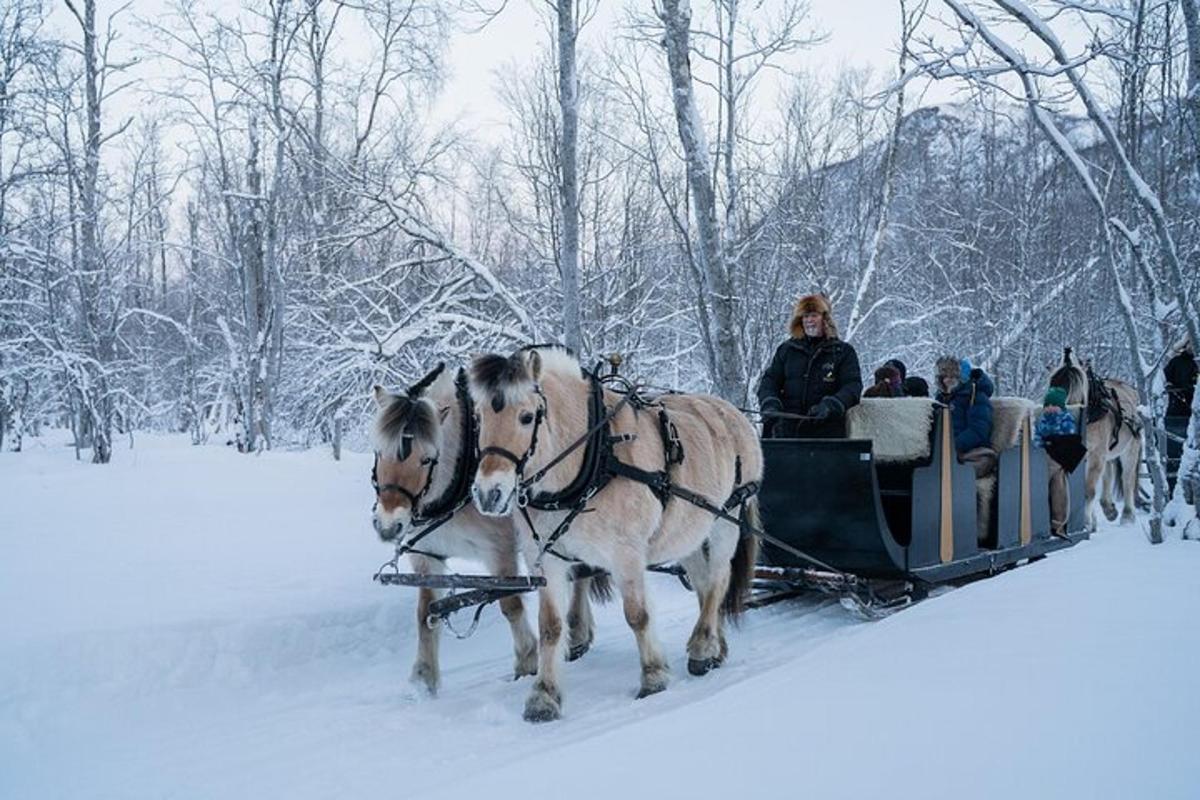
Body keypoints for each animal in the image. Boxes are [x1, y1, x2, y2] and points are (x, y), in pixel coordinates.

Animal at [369, 362, 604, 695]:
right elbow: (426, 612)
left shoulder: (498, 548)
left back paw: (579, 631)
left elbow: (510, 603)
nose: (388, 526)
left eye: (427, 459)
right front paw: (424, 678)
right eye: (378, 452)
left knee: (581, 575)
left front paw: (527, 660)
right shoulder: (426, 555)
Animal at [465, 347, 758, 724]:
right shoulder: (546, 558)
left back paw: (701, 647)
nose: (489, 494)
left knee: (719, 580)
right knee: (705, 585)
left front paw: (653, 677)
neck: (594, 459)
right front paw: (544, 696)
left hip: (726, 519)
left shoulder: (626, 554)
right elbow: (550, 626)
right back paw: (715, 647)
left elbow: (637, 614)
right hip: (690, 531)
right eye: (478, 418)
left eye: (527, 417)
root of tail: (732, 411)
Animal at [1051, 350, 1142, 532]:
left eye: (1079, 391)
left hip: (1130, 450)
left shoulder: (1095, 455)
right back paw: (1108, 508)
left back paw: (1127, 516)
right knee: (1108, 473)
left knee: (1127, 479)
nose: (1067, 351)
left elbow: (1089, 490)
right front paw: (1090, 522)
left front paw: (1086, 522)